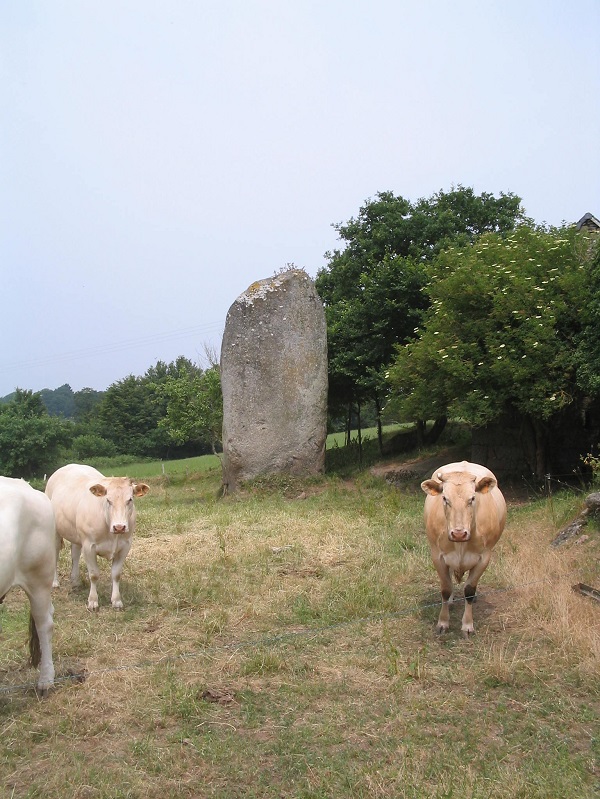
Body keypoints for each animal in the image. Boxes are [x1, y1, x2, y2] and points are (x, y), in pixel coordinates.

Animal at [46, 462, 149, 612]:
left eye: (130, 499)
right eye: (108, 500)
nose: (119, 527)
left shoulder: (125, 546)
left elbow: (116, 574)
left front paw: (116, 600)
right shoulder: (89, 546)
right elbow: (94, 575)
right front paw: (93, 601)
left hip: (76, 535)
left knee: (75, 553)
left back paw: (75, 581)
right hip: (55, 532)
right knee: (54, 554)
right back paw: (54, 582)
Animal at [422, 462, 506, 636]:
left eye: (472, 498)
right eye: (445, 498)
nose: (459, 533)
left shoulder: (484, 558)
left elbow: (469, 590)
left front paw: (467, 624)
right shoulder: (437, 556)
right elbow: (445, 589)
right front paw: (443, 622)